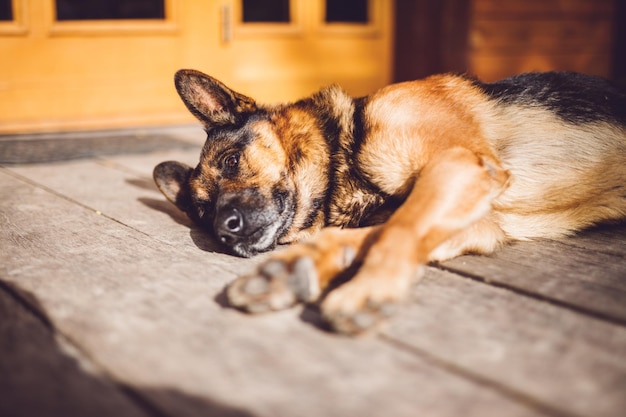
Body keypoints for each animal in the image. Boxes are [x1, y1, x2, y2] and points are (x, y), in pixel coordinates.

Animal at [152, 69, 624, 334]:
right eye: (202, 212)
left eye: (232, 161)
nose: (223, 231)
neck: (346, 151)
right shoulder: (477, 221)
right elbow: (373, 234)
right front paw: (292, 271)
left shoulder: (459, 165)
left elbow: (398, 230)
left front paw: (369, 288)